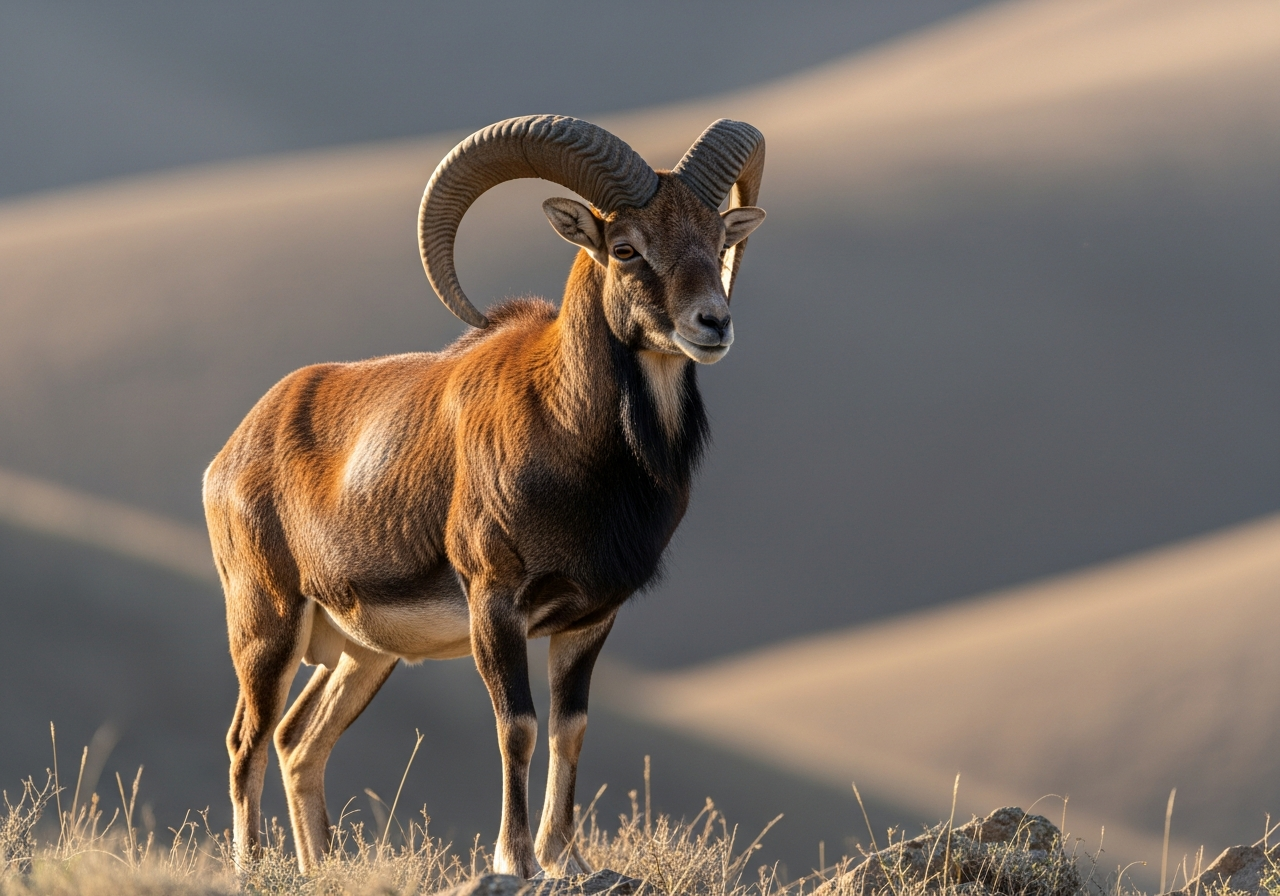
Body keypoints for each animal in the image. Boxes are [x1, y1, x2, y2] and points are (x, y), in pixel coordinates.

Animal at [202, 114, 766, 878]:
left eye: (719, 238)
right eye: (625, 247)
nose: (712, 323)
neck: (570, 434)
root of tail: (229, 458)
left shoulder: (588, 621)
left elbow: (569, 730)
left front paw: (566, 859)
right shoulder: (496, 604)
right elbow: (519, 727)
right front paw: (514, 860)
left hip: (360, 654)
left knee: (299, 742)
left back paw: (322, 867)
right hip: (266, 624)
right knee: (248, 741)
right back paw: (253, 868)